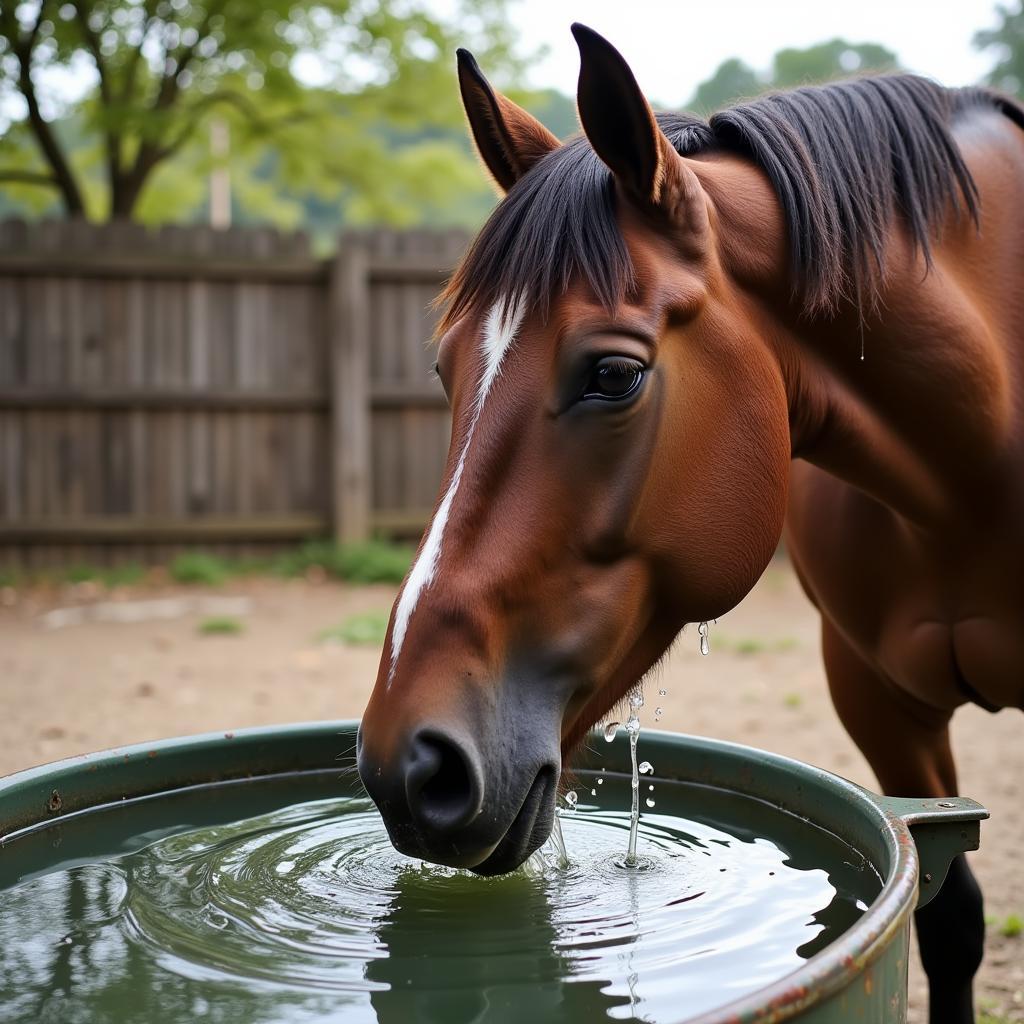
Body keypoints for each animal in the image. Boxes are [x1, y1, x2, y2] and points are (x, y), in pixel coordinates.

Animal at [358, 24, 1024, 1024]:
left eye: (614, 375)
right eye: (445, 371)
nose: (409, 764)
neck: (971, 479)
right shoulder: (878, 702)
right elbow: (950, 921)